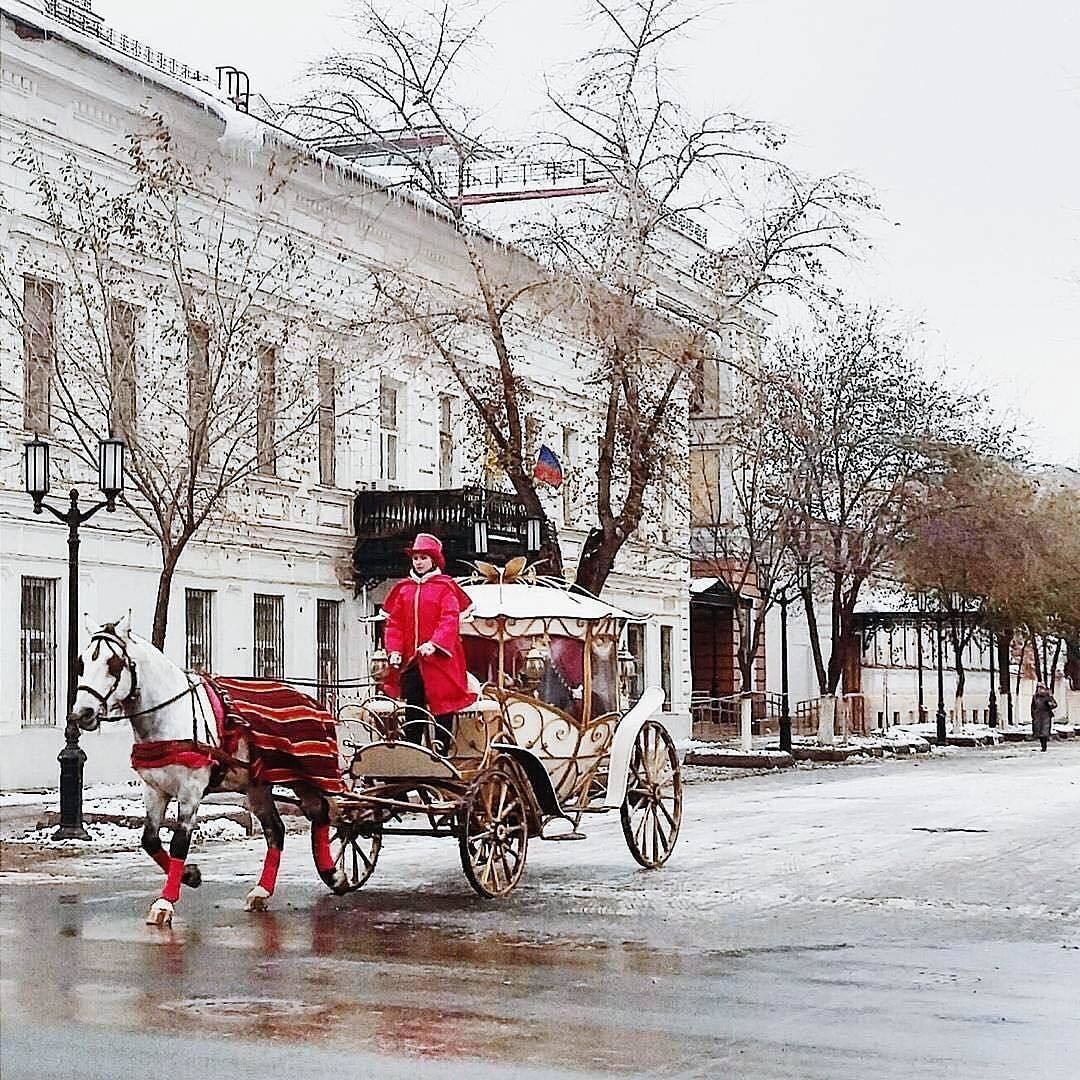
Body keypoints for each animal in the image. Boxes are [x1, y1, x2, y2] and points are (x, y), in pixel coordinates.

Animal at [70, 622, 345, 924]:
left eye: (115, 664)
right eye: (81, 663)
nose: (81, 714)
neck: (170, 715)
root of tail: (312, 701)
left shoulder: (191, 789)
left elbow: (179, 842)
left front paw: (165, 903)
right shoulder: (154, 789)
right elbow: (150, 840)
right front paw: (190, 875)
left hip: (305, 775)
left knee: (320, 813)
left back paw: (333, 874)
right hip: (258, 786)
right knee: (277, 829)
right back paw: (262, 891)